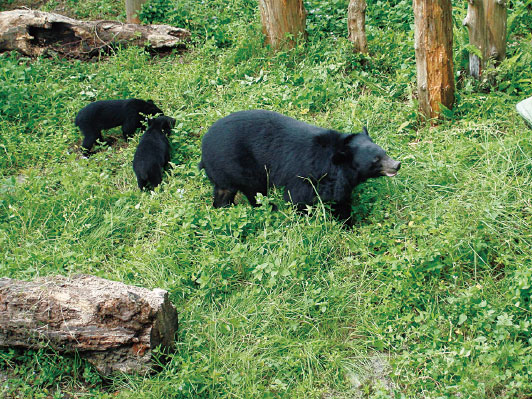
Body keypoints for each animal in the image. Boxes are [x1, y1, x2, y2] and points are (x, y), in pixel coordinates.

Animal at [198, 109, 400, 225]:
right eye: (376, 159)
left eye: (384, 152)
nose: (397, 165)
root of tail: (204, 147)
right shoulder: (305, 174)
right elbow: (298, 198)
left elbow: (340, 200)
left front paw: (347, 222)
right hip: (242, 166)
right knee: (256, 192)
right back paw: (271, 208)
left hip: (224, 172)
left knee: (224, 192)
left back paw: (224, 209)